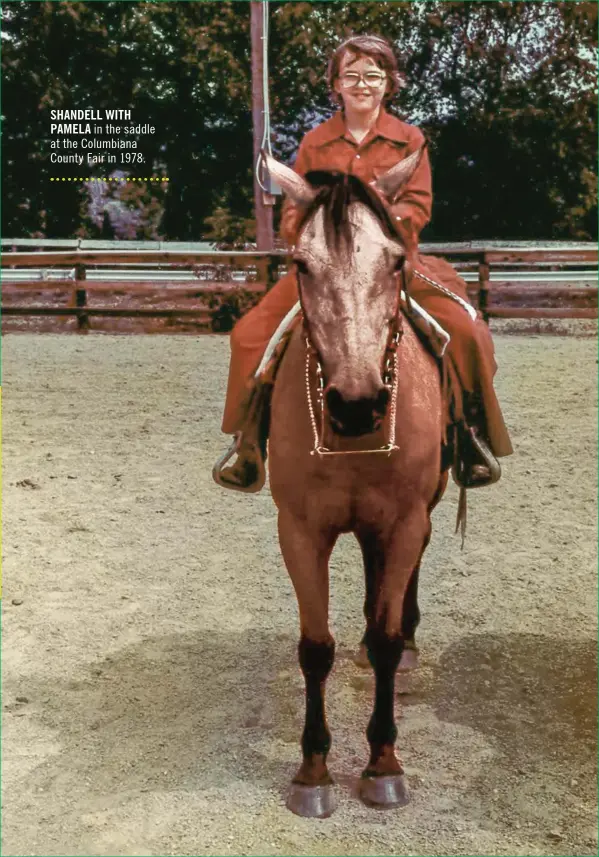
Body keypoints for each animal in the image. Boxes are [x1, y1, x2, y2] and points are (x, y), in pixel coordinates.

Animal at [264, 150, 448, 820]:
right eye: (300, 263)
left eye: (394, 260)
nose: (357, 404)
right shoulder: (299, 531)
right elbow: (315, 645)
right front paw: (313, 772)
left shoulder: (404, 522)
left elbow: (387, 639)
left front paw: (383, 765)